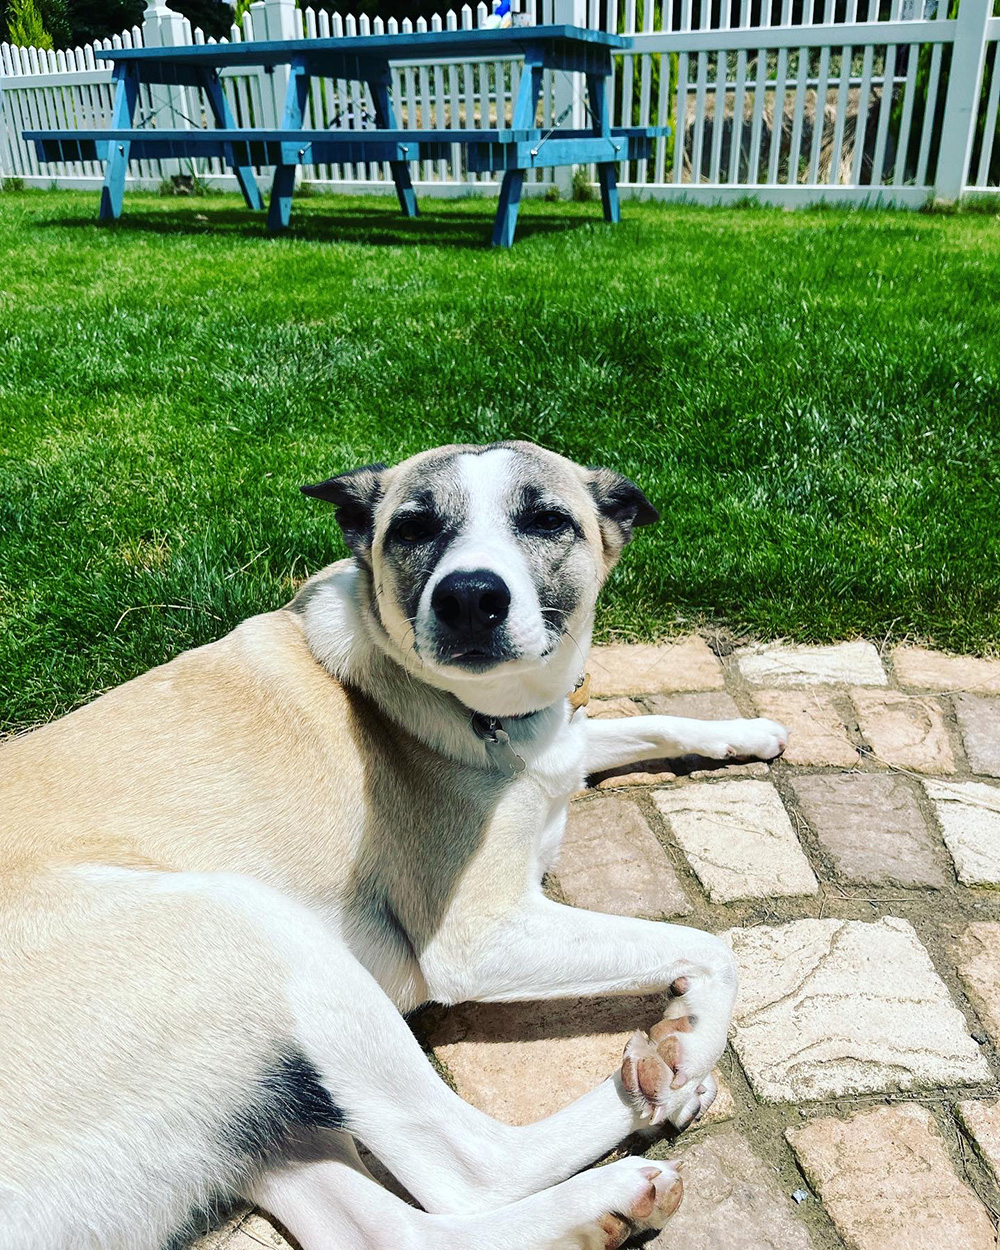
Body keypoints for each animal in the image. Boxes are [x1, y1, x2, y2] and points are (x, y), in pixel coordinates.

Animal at [0, 441, 787, 1250]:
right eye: (413, 527)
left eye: (546, 519)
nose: (469, 597)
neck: (487, 716)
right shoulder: (479, 937)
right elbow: (711, 949)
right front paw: (691, 1038)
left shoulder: (562, 749)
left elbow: (636, 725)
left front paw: (745, 732)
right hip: (251, 927)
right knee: (471, 1168)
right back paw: (658, 1102)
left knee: (389, 1227)